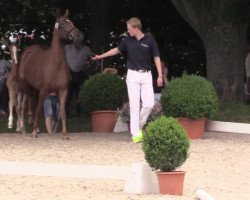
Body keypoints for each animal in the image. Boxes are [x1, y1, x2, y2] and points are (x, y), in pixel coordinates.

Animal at [17, 9, 82, 139]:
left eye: (72, 22)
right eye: (62, 24)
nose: (78, 35)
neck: (55, 63)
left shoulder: (63, 90)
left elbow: (62, 113)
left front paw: (65, 134)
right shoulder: (43, 90)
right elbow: (38, 111)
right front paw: (33, 132)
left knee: (33, 100)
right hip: (25, 85)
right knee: (30, 101)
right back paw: (30, 124)